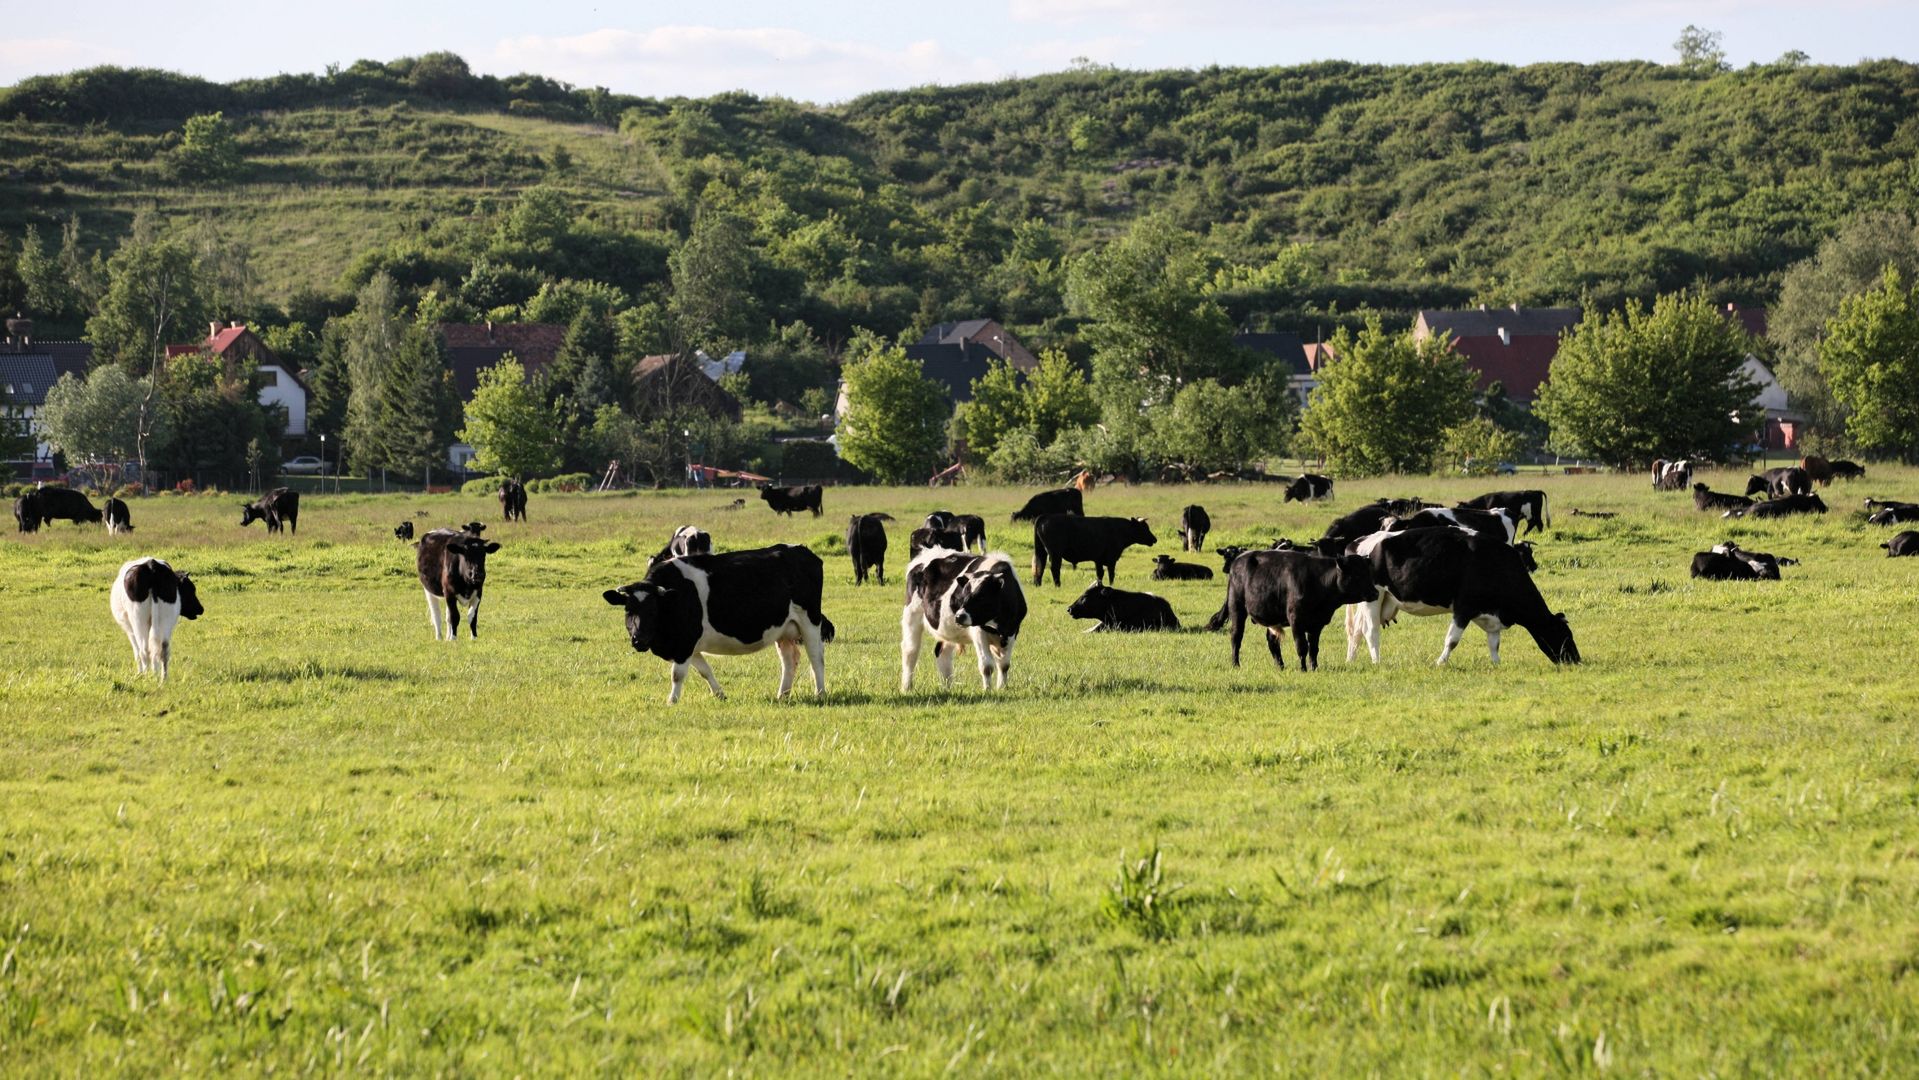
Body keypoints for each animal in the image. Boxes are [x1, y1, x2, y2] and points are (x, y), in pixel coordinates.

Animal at [598, 544, 832, 705]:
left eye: (653, 610)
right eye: (628, 610)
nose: (638, 640)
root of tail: (803, 550)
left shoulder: (684, 642)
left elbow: (677, 675)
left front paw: (672, 701)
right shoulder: (688, 646)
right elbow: (705, 670)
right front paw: (719, 694)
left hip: (810, 621)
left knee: (816, 658)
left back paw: (820, 693)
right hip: (784, 630)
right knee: (789, 661)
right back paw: (782, 695)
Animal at [894, 548, 1020, 694]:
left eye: (982, 596)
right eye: (963, 595)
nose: (959, 616)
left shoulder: (1012, 632)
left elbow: (1004, 665)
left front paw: (1002, 688)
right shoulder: (978, 632)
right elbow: (987, 666)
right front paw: (987, 690)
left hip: (947, 628)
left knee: (942, 652)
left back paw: (946, 688)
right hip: (912, 615)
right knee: (910, 651)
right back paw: (906, 687)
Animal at [1220, 552, 1374, 671]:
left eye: (1368, 573)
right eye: (1357, 575)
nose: (1375, 593)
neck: (1318, 581)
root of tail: (1238, 560)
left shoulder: (1316, 624)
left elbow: (1314, 649)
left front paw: (1314, 668)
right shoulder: (1296, 620)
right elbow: (1302, 647)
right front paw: (1303, 669)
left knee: (1272, 642)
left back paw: (1280, 666)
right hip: (1237, 608)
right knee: (1236, 637)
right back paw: (1236, 664)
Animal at [1343, 525, 1581, 667]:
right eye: (1565, 635)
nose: (1576, 660)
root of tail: (1357, 542)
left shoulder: (1491, 615)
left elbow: (1494, 643)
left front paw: (1497, 664)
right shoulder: (1464, 607)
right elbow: (1452, 640)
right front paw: (1440, 663)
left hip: (1379, 599)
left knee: (1356, 631)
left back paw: (1351, 660)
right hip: (1374, 597)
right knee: (1370, 630)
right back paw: (1377, 662)